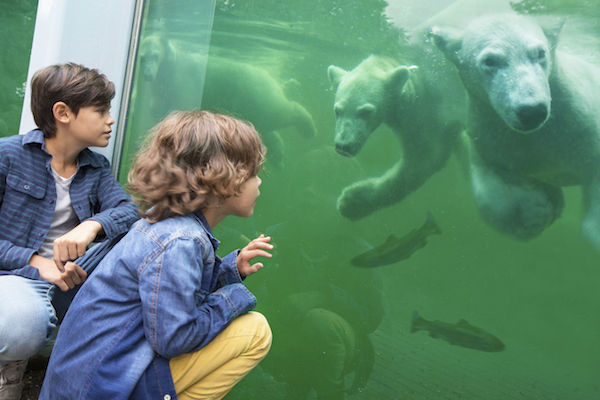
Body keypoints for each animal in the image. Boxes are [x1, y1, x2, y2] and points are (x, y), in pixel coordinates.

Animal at [328, 52, 464, 220]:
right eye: (337, 110)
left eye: (366, 112)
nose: (343, 146)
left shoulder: (429, 114)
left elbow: (425, 158)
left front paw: (349, 202)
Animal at [428, 14, 600, 247]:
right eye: (490, 60)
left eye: (540, 52)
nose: (531, 111)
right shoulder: (490, 133)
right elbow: (490, 185)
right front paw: (536, 212)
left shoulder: (583, 125)